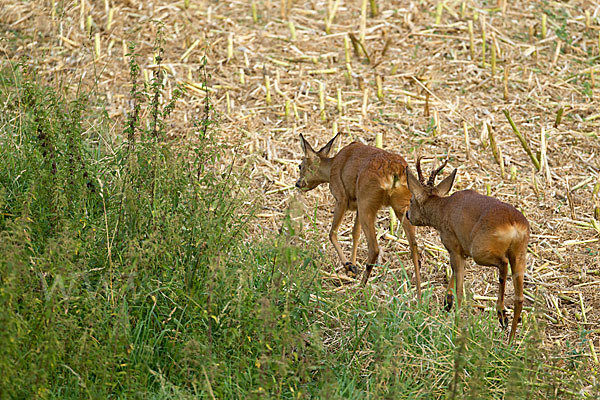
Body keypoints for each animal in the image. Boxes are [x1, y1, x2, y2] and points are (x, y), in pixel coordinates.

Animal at [296, 133, 422, 298]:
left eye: (300, 166)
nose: (298, 184)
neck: (332, 166)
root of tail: (394, 172)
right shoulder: (356, 205)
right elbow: (355, 233)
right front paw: (352, 266)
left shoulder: (342, 198)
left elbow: (333, 232)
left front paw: (349, 266)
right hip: (402, 206)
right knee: (414, 248)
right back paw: (419, 296)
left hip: (367, 202)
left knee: (374, 248)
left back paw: (360, 289)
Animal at [406, 158, 528, 342]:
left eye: (412, 200)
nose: (407, 215)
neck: (443, 209)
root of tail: (512, 223)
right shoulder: (462, 251)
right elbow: (454, 275)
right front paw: (447, 303)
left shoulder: (454, 246)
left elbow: (459, 288)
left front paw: (454, 320)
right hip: (519, 254)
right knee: (519, 297)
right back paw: (510, 339)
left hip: (481, 251)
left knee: (503, 264)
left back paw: (501, 313)